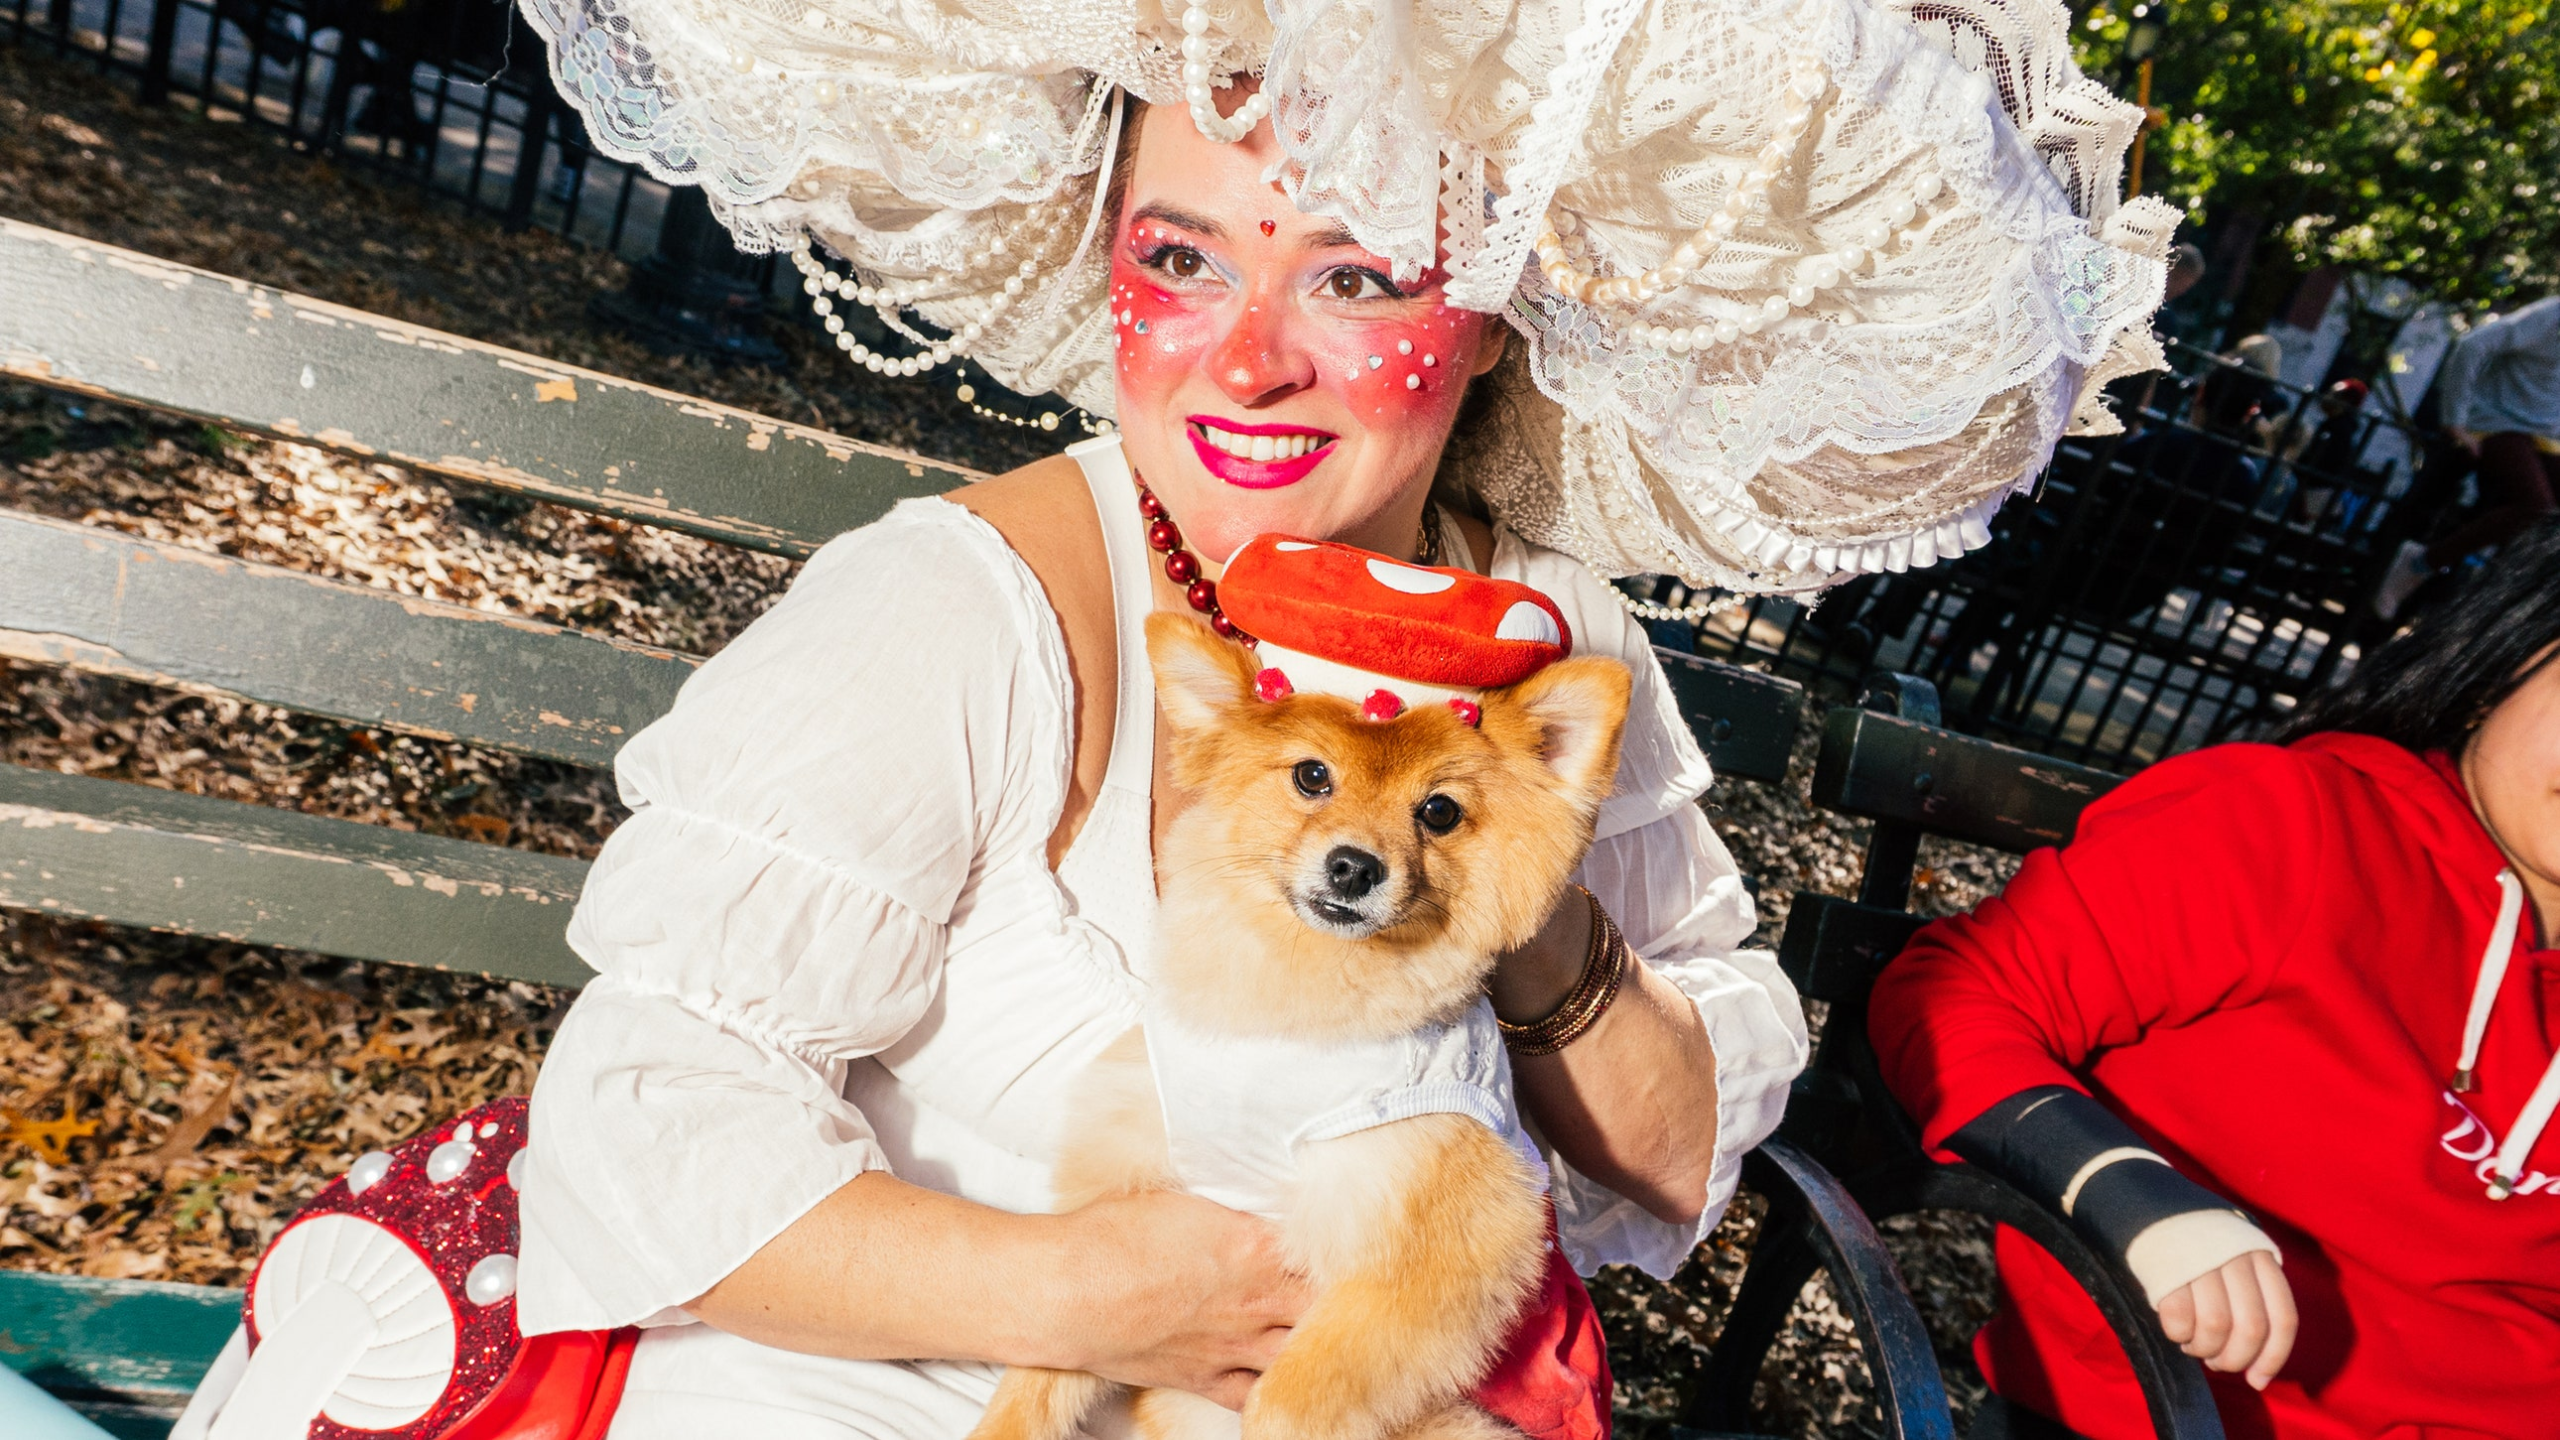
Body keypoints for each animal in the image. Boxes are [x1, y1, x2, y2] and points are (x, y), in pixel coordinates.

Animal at [967, 607, 1628, 1434]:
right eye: (1313, 776)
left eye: (1439, 812)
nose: (1354, 866)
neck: (1293, 1018)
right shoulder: (1130, 1191)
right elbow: (1048, 1363)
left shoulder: (1438, 1257)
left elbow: (1289, 1397)